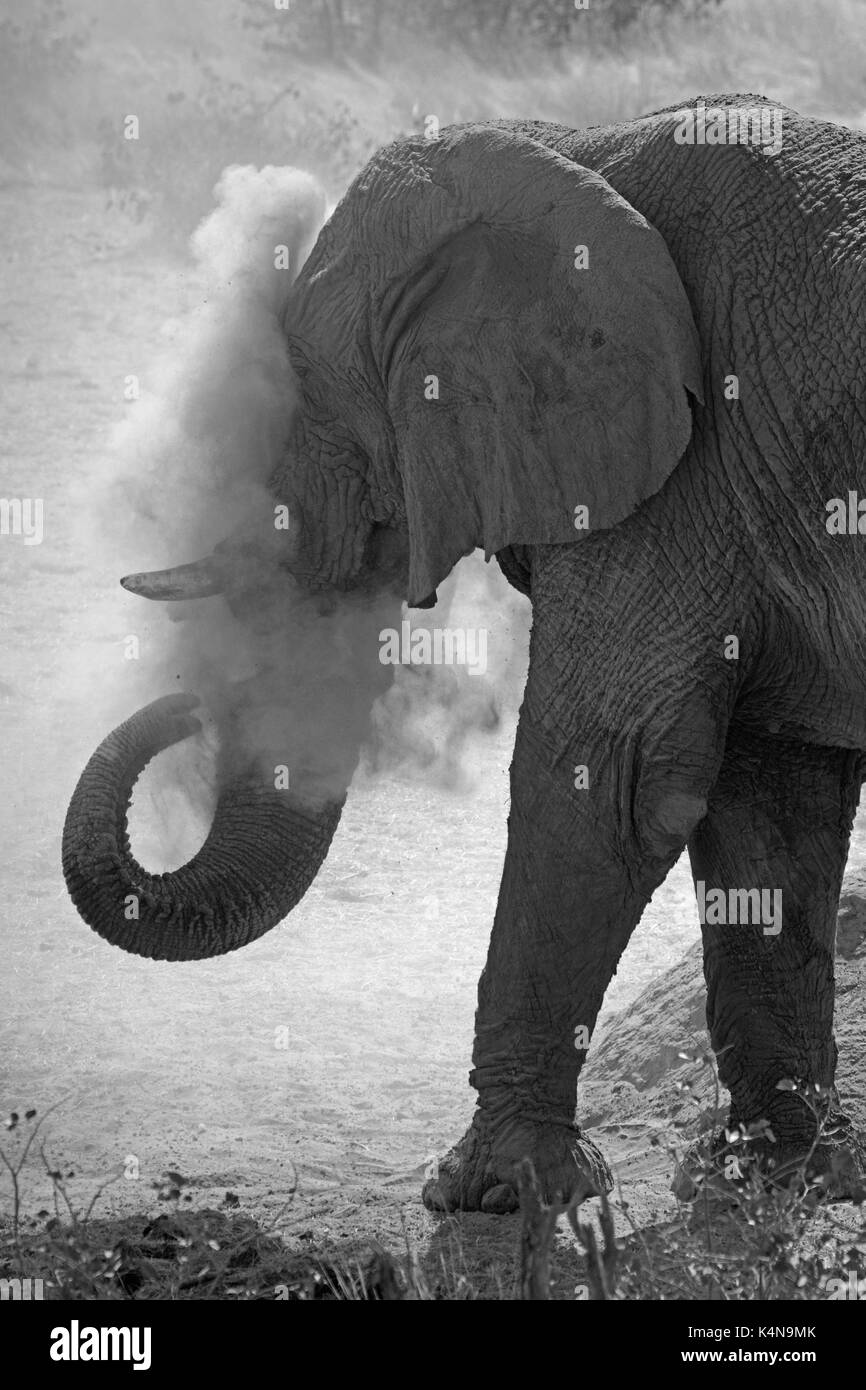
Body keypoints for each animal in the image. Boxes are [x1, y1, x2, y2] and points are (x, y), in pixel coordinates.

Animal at [64, 89, 866, 1217]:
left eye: (298, 389)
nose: (187, 698)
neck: (571, 146)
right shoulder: (739, 494)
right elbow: (772, 799)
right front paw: (775, 1173)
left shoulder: (687, 473)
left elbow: (610, 780)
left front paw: (490, 1189)